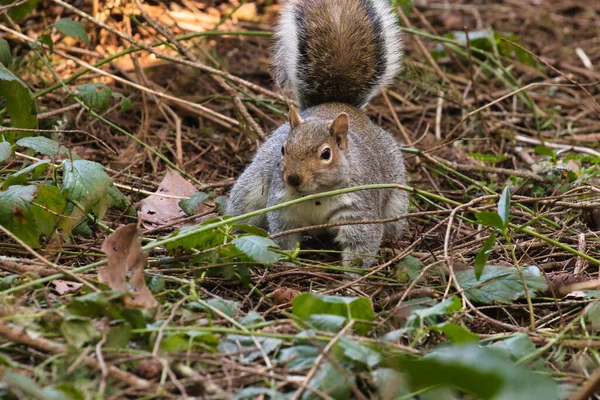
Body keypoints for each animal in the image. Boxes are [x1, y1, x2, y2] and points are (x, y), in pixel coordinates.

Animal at [227, 0, 410, 268]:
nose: (293, 178)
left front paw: (353, 277)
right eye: (283, 149)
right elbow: (284, 239)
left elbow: (360, 248)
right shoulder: (282, 208)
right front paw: (288, 264)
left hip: (396, 202)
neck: (315, 195)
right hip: (250, 190)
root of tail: (337, 103)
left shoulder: (359, 213)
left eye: (326, 154)